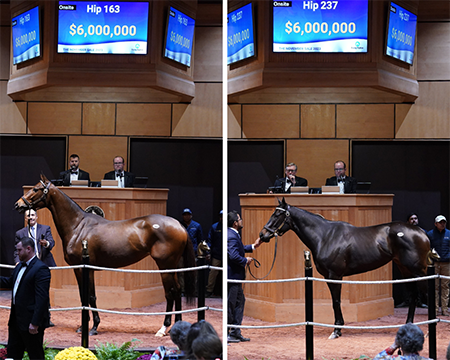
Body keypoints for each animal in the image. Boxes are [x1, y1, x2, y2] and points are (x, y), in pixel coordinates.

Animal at [14, 173, 195, 336]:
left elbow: (87, 296)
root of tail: (179, 225)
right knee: (178, 290)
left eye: (35, 189)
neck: (78, 226)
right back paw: (177, 326)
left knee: (171, 292)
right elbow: (87, 296)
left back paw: (163, 328)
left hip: (165, 266)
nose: (18, 205)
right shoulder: (85, 269)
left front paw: (90, 327)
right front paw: (88, 326)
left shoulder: (83, 268)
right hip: (173, 267)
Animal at [258, 198, 438, 338]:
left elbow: (336, 301)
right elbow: (334, 301)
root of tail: (421, 232)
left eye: (277, 215)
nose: (262, 235)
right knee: (413, 296)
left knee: (427, 295)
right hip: (406, 271)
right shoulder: (328, 276)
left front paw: (337, 330)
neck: (325, 236)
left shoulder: (334, 276)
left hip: (419, 272)